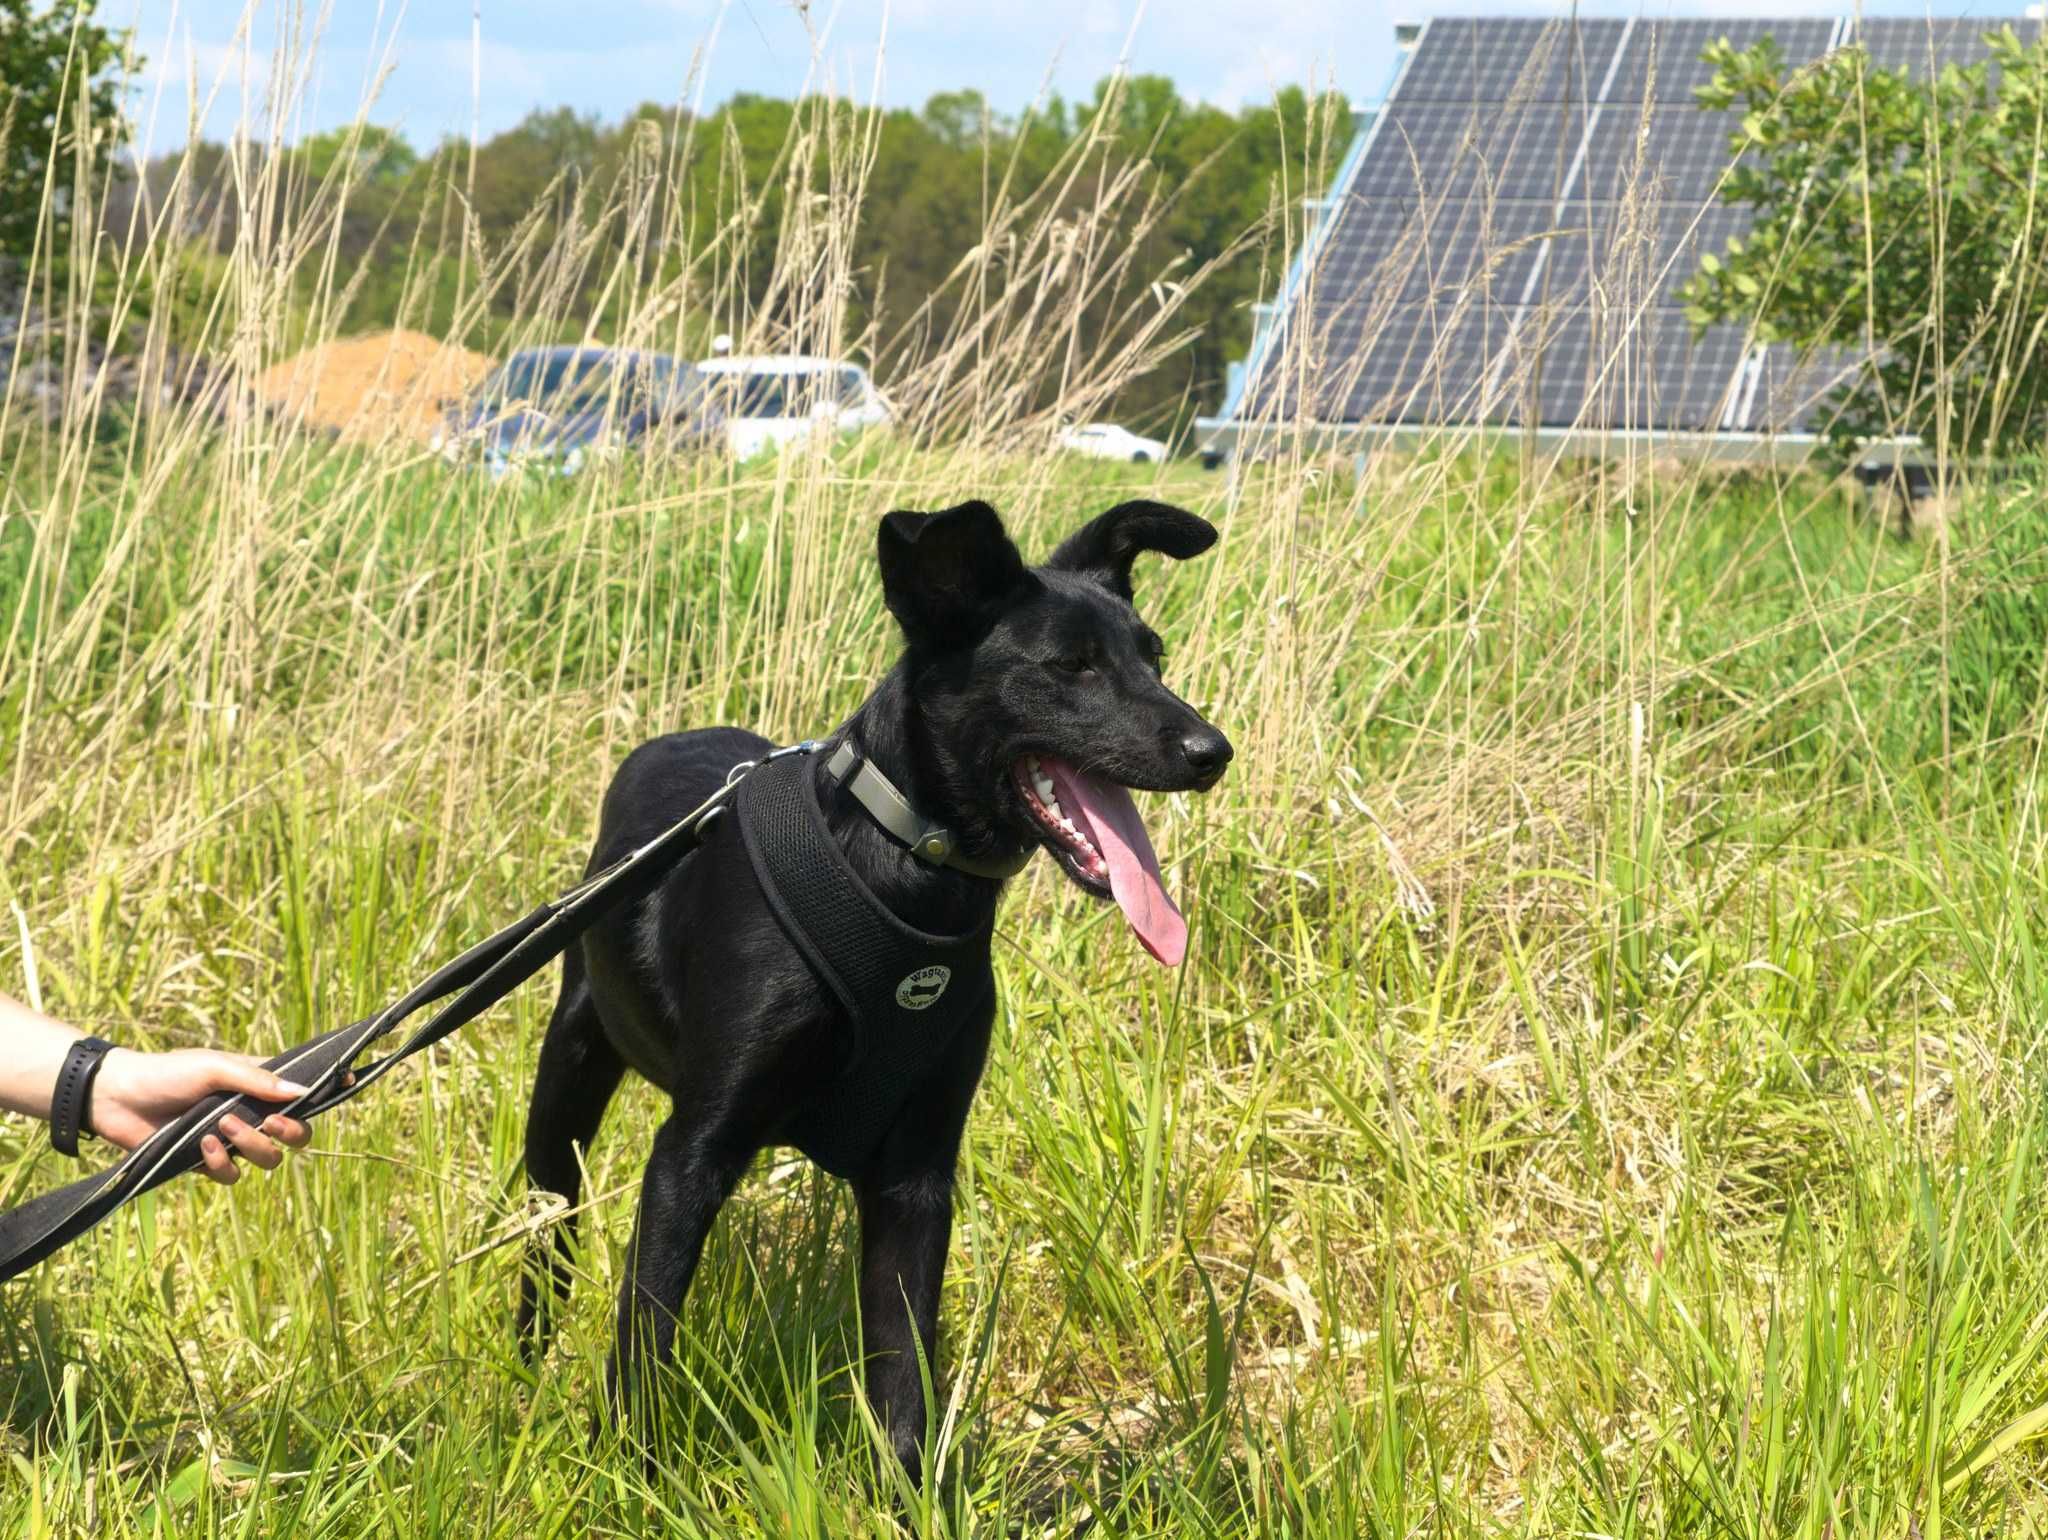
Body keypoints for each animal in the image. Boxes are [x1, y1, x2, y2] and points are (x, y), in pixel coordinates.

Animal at [520, 495, 1220, 1482]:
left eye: (1153, 655)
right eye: (1070, 666)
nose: (1212, 750)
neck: (904, 870)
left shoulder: (918, 1174)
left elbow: (903, 1378)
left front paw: (905, 1498)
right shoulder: (692, 1151)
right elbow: (646, 1335)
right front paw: (630, 1480)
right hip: (565, 1098)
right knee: (545, 1251)